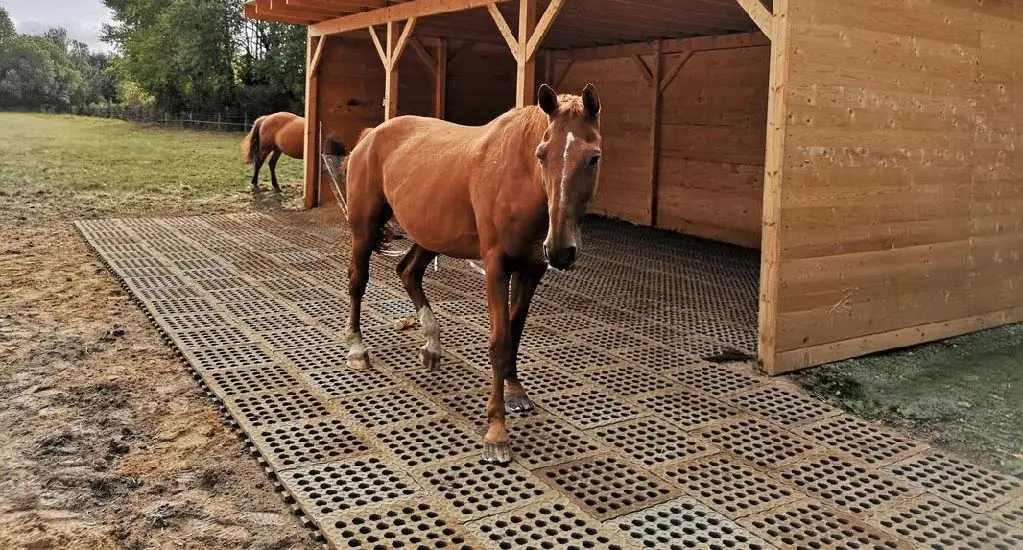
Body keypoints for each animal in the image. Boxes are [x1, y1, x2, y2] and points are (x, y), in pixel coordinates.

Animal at [342, 83, 602, 464]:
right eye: (542, 155)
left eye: (593, 157)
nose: (560, 250)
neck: (517, 176)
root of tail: (370, 135)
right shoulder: (496, 266)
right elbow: (499, 340)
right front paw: (496, 431)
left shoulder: (531, 270)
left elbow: (516, 332)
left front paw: (516, 391)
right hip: (364, 228)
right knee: (358, 282)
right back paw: (358, 350)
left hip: (431, 233)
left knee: (408, 272)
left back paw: (431, 345)